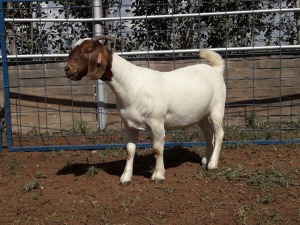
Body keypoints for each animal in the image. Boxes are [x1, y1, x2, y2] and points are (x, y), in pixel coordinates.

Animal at [65, 35, 225, 186]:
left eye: (87, 50)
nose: (67, 69)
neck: (131, 84)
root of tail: (216, 69)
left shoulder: (157, 122)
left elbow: (157, 149)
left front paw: (158, 175)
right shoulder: (129, 124)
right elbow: (130, 151)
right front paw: (125, 178)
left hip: (217, 108)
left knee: (219, 133)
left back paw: (212, 164)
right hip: (201, 115)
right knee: (208, 134)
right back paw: (205, 160)